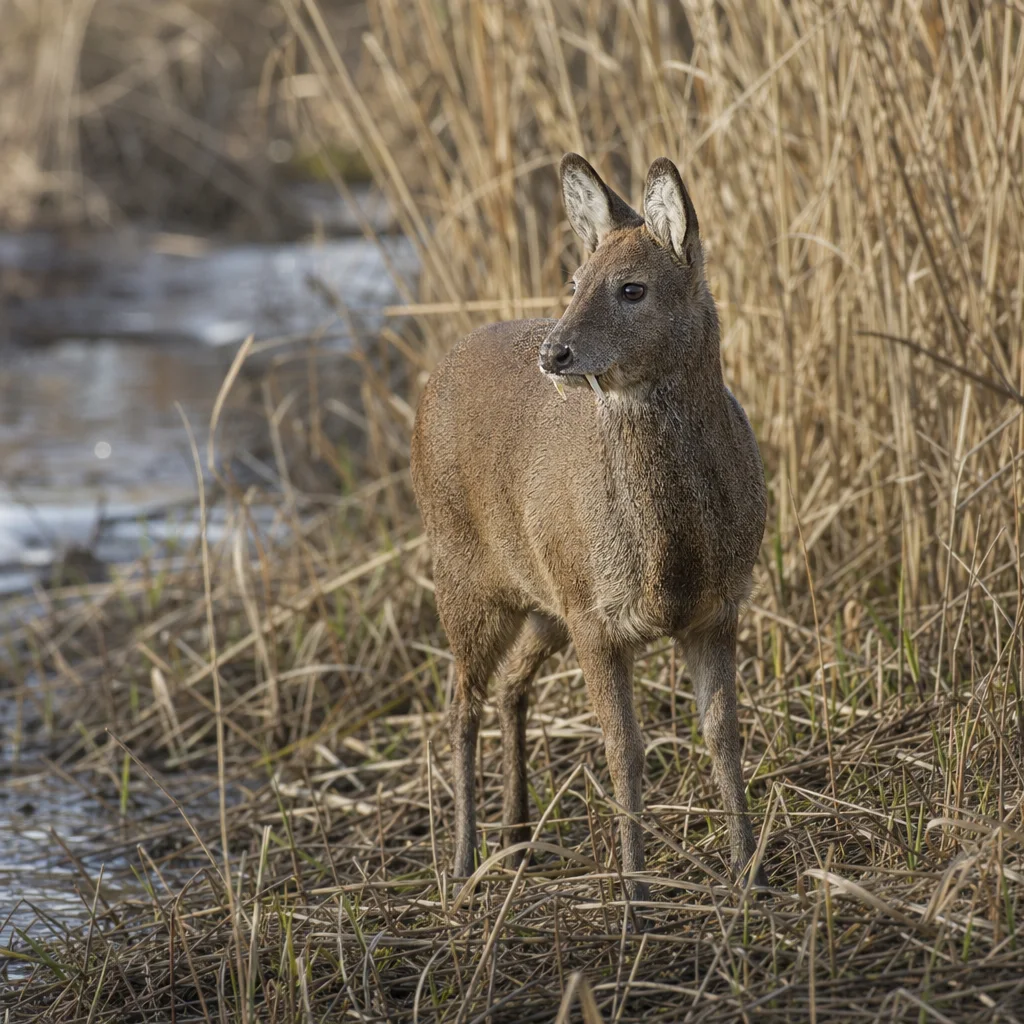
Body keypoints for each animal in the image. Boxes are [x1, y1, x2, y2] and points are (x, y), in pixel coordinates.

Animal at [410, 154, 768, 906]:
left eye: (632, 287)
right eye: (573, 281)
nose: (556, 353)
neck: (670, 555)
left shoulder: (719, 607)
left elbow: (724, 734)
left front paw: (750, 870)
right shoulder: (595, 618)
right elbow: (622, 749)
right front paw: (635, 892)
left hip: (543, 598)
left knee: (512, 687)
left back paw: (517, 839)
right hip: (463, 572)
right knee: (459, 703)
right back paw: (462, 863)